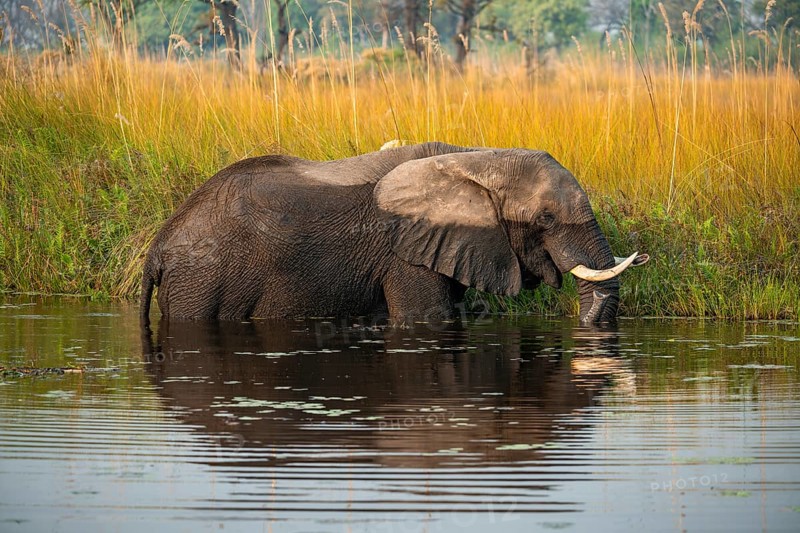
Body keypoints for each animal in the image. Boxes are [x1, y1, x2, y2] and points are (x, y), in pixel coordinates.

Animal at [140, 142, 647, 326]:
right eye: (545, 220)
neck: (476, 157)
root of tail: (157, 249)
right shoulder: (406, 255)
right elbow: (427, 319)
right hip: (202, 282)